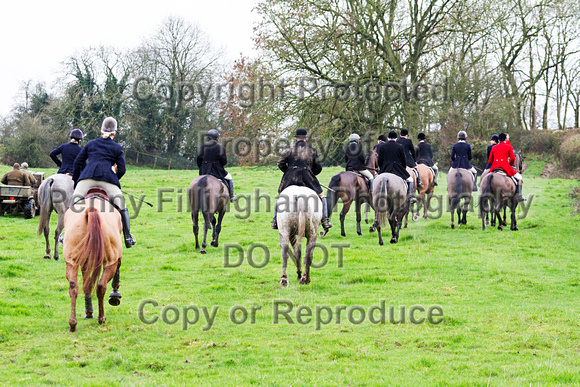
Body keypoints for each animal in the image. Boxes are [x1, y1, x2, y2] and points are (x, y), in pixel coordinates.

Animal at [63, 192, 122, 332]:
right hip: (110, 261)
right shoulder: (115, 257)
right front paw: (115, 295)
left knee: (73, 287)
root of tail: (91, 210)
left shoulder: (85, 261)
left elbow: (87, 285)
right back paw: (102, 318)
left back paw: (72, 324)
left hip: (72, 262)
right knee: (101, 286)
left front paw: (88, 312)